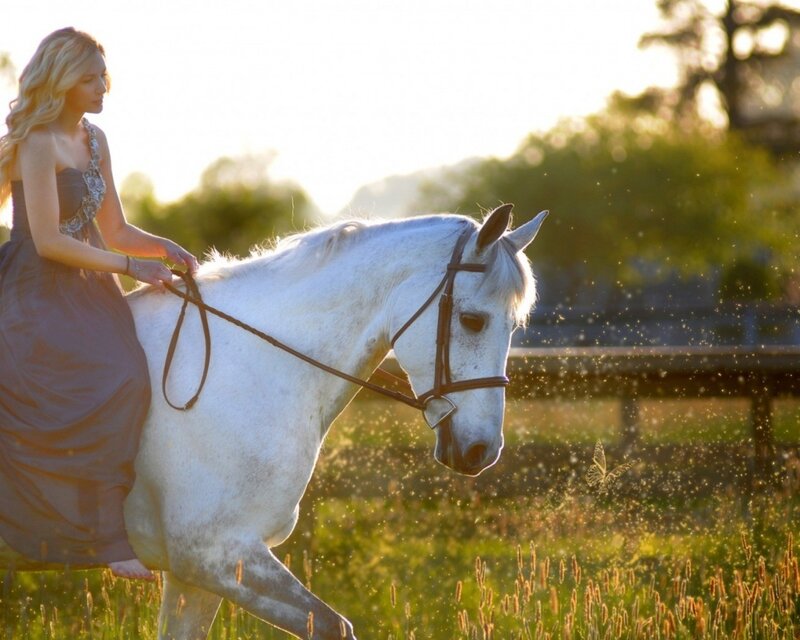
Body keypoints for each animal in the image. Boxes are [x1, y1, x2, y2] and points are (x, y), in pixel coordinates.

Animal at [0, 203, 547, 639]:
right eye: (472, 320)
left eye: (516, 325)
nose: (482, 452)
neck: (243, 368)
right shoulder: (217, 553)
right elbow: (332, 627)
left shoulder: (195, 574)